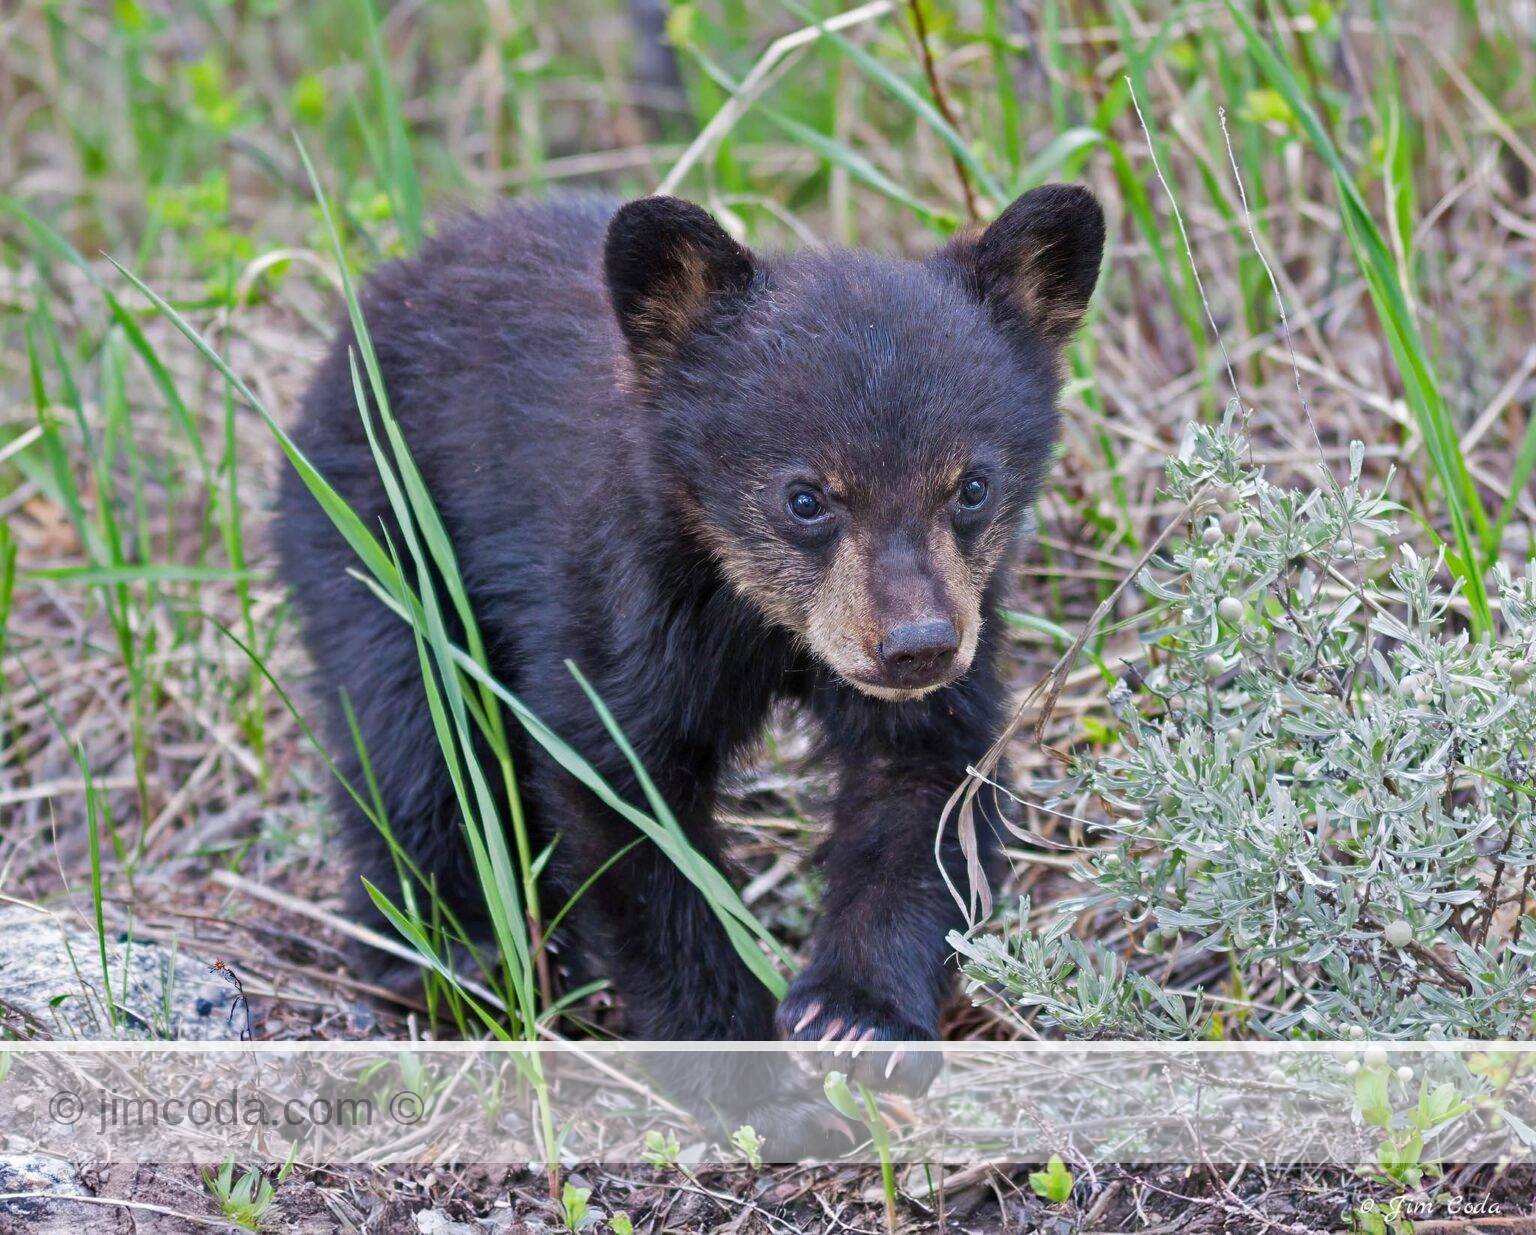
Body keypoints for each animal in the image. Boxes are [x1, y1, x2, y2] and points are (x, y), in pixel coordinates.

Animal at [275, 187, 1103, 1099]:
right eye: (805, 497)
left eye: (973, 486)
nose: (916, 646)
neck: (758, 616)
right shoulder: (621, 604)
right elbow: (625, 807)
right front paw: (744, 1070)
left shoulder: (955, 642)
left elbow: (925, 790)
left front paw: (860, 1015)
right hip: (375, 512)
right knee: (409, 720)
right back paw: (455, 949)